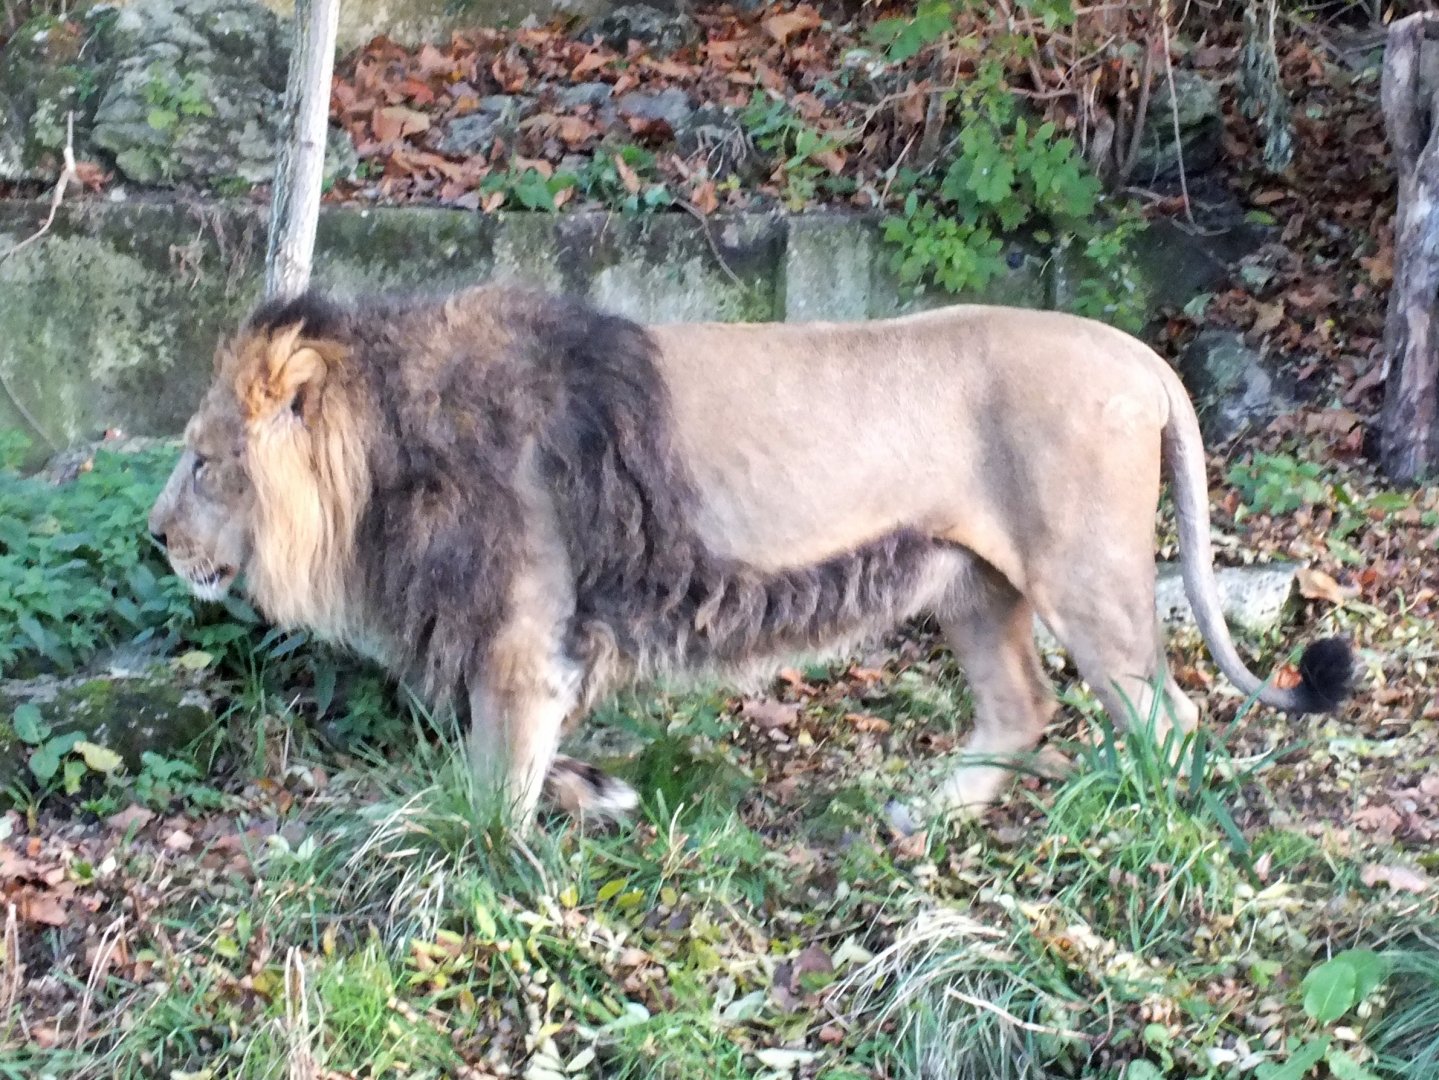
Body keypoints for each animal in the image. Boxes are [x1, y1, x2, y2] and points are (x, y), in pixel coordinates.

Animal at [147, 285, 1353, 829]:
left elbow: (488, 779)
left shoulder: (520, 639)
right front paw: (597, 797)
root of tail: (1142, 356)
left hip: (1083, 572)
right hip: (972, 582)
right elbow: (514, 759)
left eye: (202, 462)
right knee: (1023, 707)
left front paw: (482, 869)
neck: (387, 456)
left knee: (1167, 715)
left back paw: (1129, 827)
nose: (154, 537)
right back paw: (927, 815)